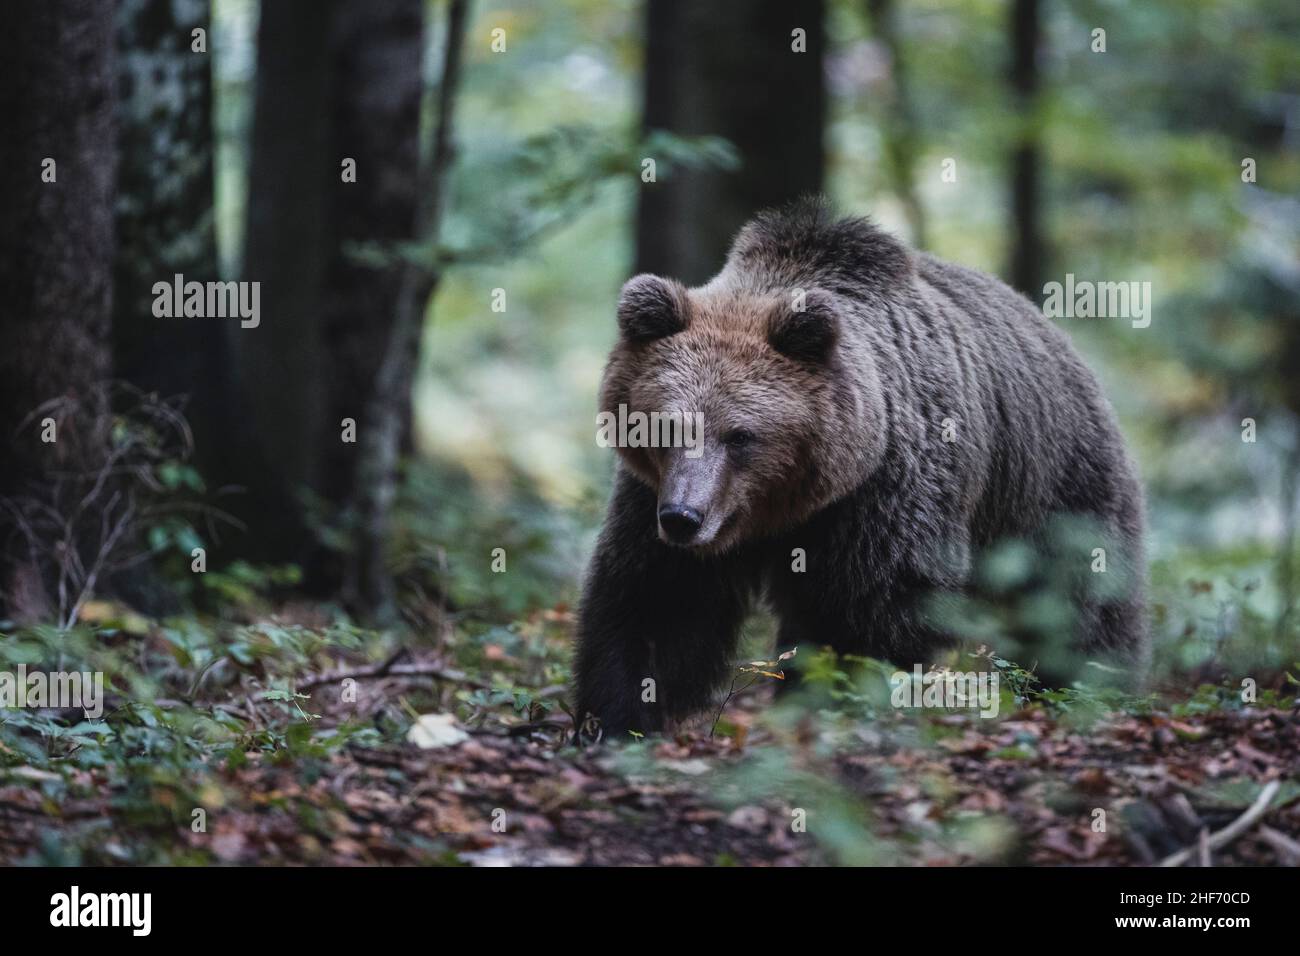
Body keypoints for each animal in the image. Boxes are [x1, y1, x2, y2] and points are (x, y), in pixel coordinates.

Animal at [574, 200, 1144, 738]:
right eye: (667, 426)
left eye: (740, 435)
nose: (683, 517)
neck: (786, 507)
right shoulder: (650, 497)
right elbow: (655, 600)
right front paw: (618, 718)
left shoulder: (883, 494)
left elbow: (869, 616)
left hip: (1055, 491)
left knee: (1078, 614)